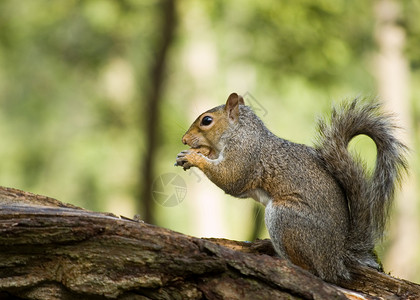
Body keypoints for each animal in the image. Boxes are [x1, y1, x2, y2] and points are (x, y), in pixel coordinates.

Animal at [176, 92, 408, 282]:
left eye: (207, 120)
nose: (184, 139)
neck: (241, 131)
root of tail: (336, 257)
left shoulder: (245, 154)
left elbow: (231, 178)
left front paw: (195, 157)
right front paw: (200, 152)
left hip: (285, 217)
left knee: (313, 271)